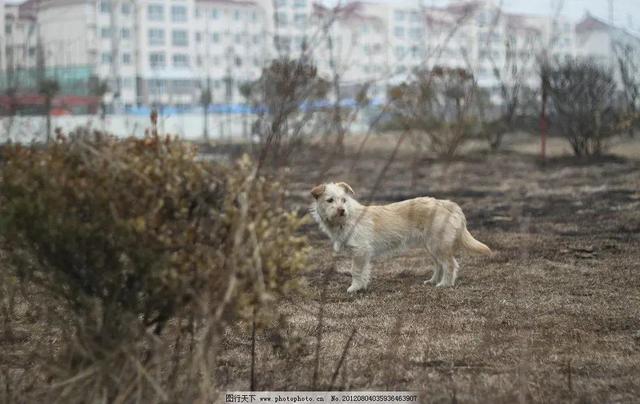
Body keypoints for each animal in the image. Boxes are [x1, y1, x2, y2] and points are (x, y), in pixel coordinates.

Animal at [308, 181, 490, 292]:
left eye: (344, 200)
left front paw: (355, 287)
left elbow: (356, 271)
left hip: (438, 246)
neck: (347, 218)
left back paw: (444, 284)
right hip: (431, 247)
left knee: (450, 264)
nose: (341, 210)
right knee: (439, 265)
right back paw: (432, 281)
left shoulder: (360, 251)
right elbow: (364, 271)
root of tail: (448, 204)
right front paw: (362, 286)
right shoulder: (363, 254)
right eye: (330, 200)